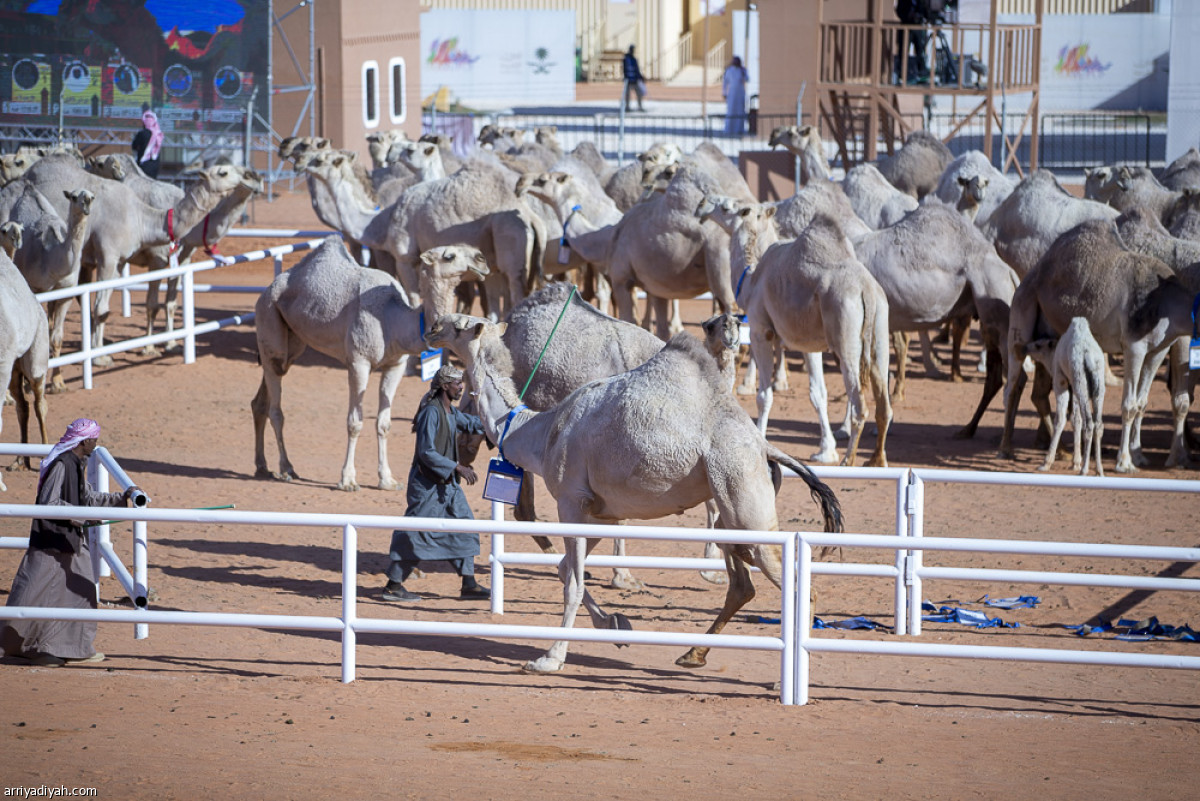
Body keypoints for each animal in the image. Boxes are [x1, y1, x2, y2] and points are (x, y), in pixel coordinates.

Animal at [254, 235, 492, 491]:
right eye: (449, 256)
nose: (482, 259)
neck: (394, 320)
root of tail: (269, 288)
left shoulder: (396, 365)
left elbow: (384, 423)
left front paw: (387, 480)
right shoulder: (359, 362)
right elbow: (355, 422)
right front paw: (347, 480)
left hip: (292, 342)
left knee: (263, 395)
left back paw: (261, 466)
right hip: (268, 315)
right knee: (276, 405)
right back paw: (286, 468)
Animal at [424, 311, 844, 671]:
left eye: (459, 324)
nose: (430, 327)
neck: (539, 434)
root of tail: (764, 446)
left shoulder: (570, 501)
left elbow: (573, 583)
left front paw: (549, 658)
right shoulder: (598, 511)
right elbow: (565, 570)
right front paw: (616, 625)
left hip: (742, 497)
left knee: (796, 584)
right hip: (733, 508)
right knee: (742, 585)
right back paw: (692, 654)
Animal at [696, 195, 892, 470]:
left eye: (726, 207)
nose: (702, 203)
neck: (751, 278)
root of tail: (867, 290)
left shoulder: (760, 331)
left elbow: (764, 395)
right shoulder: (809, 344)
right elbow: (818, 394)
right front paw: (825, 451)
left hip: (846, 333)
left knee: (860, 404)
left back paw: (849, 460)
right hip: (881, 329)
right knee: (884, 404)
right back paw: (876, 460)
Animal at [1003, 215, 1190, 472]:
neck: (1167, 302)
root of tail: (1031, 274)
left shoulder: (1159, 349)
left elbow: (1142, 402)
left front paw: (1140, 456)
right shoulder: (1134, 345)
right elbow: (1129, 404)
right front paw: (1124, 462)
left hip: (1050, 340)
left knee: (1038, 391)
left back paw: (1061, 451)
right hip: (1022, 309)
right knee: (1012, 381)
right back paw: (1005, 449)